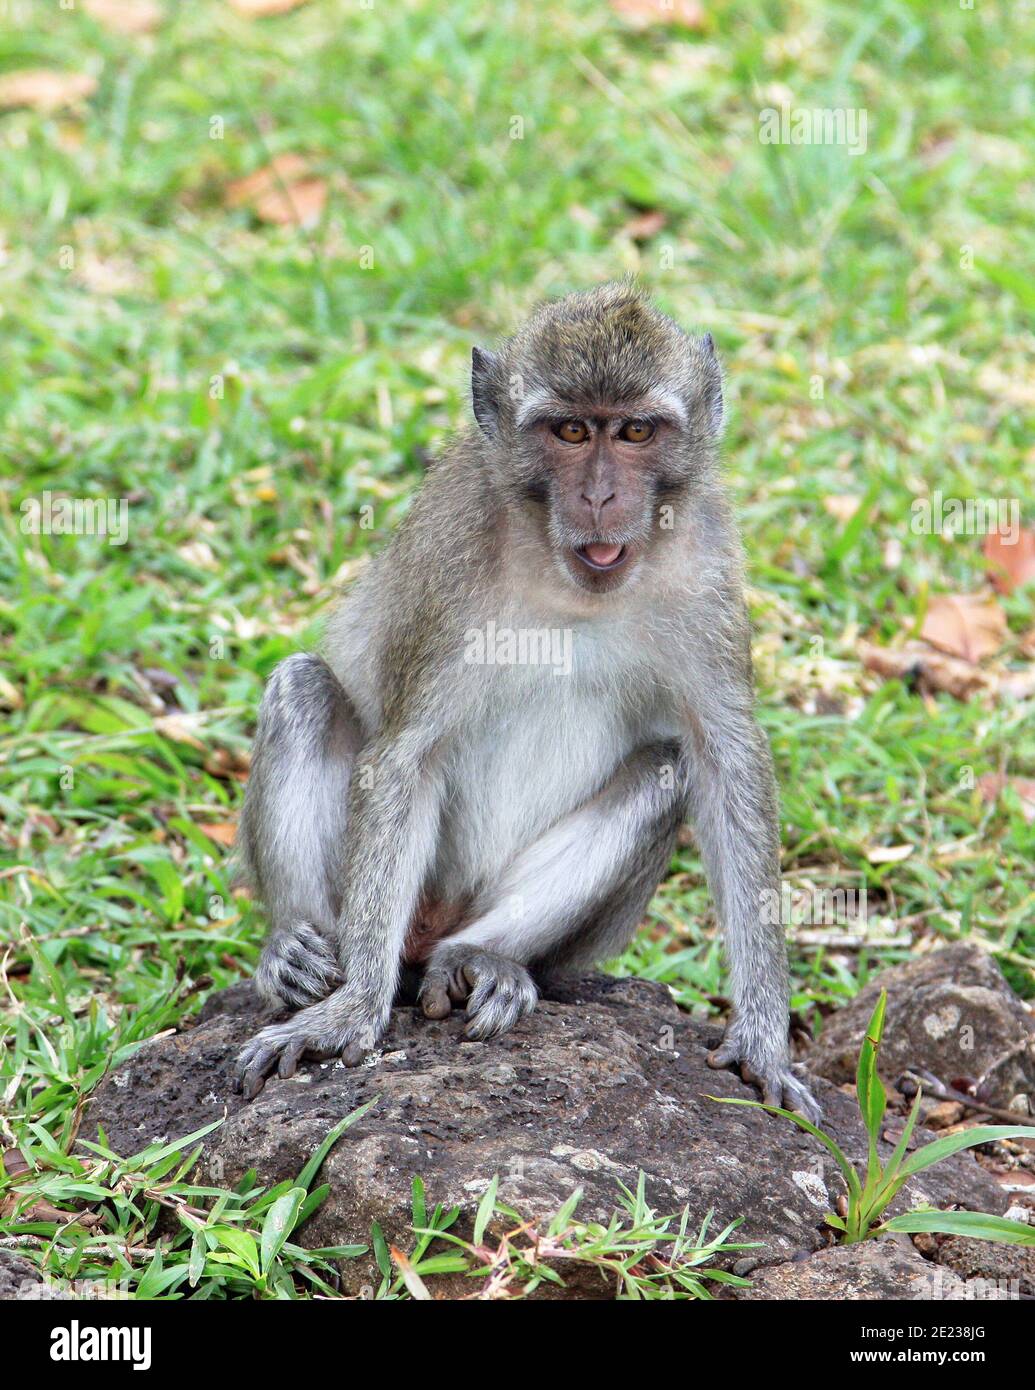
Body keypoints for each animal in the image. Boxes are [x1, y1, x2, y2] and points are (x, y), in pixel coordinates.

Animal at [234, 282, 816, 1117]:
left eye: (635, 431)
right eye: (570, 430)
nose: (601, 495)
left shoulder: (706, 565)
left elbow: (725, 757)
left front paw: (764, 1035)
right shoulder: (451, 566)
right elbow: (405, 756)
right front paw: (353, 1007)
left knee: (665, 767)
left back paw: (479, 957)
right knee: (304, 689)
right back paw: (296, 948)